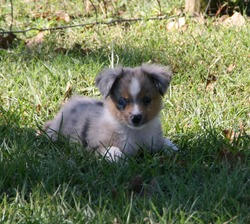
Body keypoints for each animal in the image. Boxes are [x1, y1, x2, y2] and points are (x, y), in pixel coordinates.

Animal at [45, 63, 178, 161]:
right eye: (122, 101)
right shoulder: (96, 146)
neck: (134, 132)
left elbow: (164, 142)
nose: (136, 118)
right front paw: (121, 158)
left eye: (147, 100)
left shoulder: (153, 139)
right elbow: (114, 151)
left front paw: (173, 148)